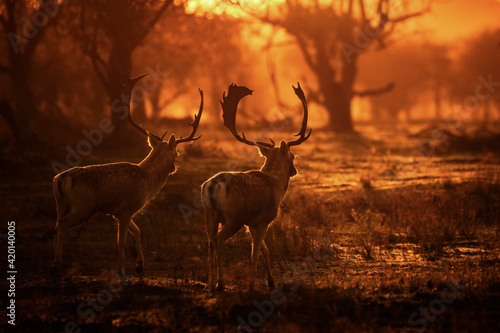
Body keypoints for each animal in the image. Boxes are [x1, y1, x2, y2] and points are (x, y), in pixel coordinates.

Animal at [51, 74, 204, 276]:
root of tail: (60, 179)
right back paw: (56, 264)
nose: (173, 168)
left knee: (56, 225)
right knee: (61, 225)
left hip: (61, 205)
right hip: (84, 207)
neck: (147, 182)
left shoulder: (117, 212)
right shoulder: (126, 208)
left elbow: (138, 230)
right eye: (176, 154)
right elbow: (121, 241)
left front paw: (140, 264)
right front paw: (121, 269)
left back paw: (56, 263)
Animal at [201, 82, 310, 290]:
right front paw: (252, 285)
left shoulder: (251, 223)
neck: (277, 185)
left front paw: (271, 282)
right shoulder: (263, 221)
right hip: (233, 217)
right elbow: (255, 253)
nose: (294, 170)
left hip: (210, 215)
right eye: (292, 156)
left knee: (209, 242)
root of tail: (211, 187)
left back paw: (209, 284)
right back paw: (221, 282)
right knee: (218, 240)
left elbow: (265, 251)